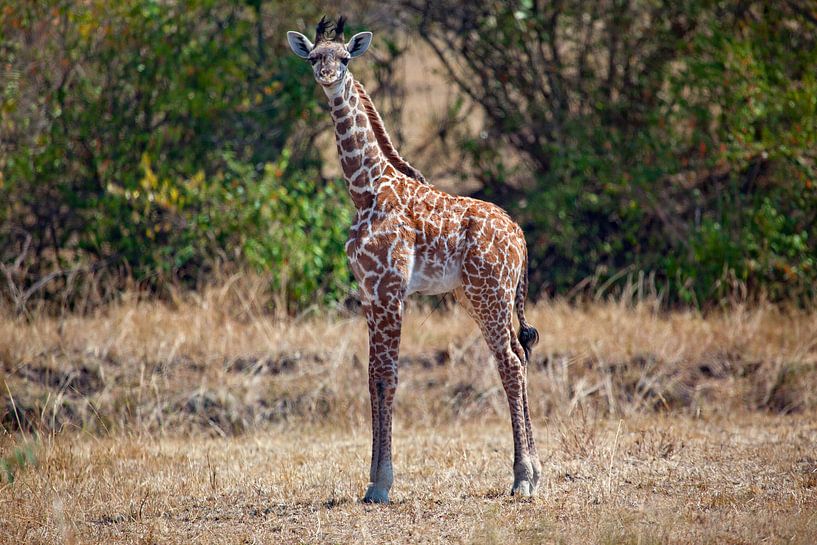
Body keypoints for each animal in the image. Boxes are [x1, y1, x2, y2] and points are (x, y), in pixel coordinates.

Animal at [287, 16, 541, 504]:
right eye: (313, 58)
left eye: (343, 58)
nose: (326, 78)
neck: (365, 190)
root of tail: (519, 236)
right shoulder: (369, 293)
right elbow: (372, 376)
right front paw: (371, 479)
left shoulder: (390, 289)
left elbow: (388, 376)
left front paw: (382, 484)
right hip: (476, 296)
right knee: (519, 353)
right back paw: (535, 472)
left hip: (490, 293)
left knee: (511, 362)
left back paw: (521, 479)